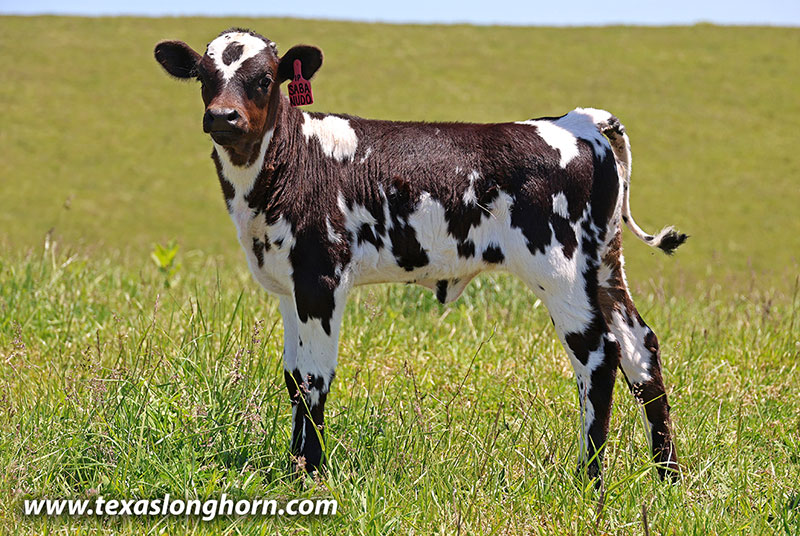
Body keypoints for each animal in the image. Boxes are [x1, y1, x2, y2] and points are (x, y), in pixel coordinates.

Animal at [154, 28, 686, 483]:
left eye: (264, 78)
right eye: (203, 76)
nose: (222, 117)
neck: (286, 164)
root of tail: (577, 121)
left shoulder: (322, 277)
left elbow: (314, 377)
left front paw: (310, 474)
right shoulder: (289, 285)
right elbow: (292, 378)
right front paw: (294, 467)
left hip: (560, 268)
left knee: (598, 355)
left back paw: (589, 480)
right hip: (603, 265)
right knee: (640, 347)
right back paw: (667, 476)